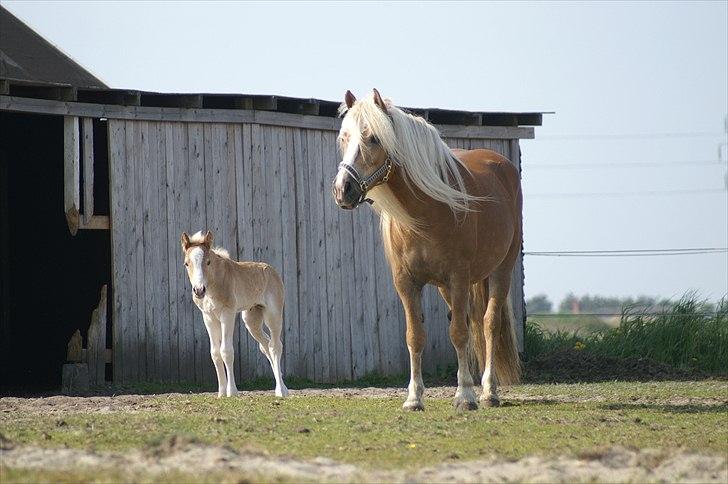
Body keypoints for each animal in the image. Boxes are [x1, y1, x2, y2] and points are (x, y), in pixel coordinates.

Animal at [181, 231, 288, 398]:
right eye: (187, 263)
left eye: (208, 262)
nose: (199, 290)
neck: (214, 283)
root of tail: (272, 271)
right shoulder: (208, 317)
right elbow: (215, 353)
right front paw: (221, 392)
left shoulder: (228, 313)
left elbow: (226, 351)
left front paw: (232, 392)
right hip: (251, 320)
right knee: (265, 345)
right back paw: (281, 383)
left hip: (273, 315)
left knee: (275, 345)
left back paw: (282, 391)